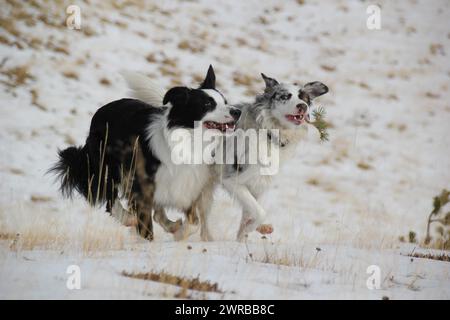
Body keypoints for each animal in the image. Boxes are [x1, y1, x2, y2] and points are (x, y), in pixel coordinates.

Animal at [50, 65, 241, 240]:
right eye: (207, 104)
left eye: (225, 101)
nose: (237, 111)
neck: (190, 140)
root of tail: (103, 109)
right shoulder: (141, 184)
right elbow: (146, 226)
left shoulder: (188, 185)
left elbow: (193, 223)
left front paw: (179, 233)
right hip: (107, 167)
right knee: (111, 200)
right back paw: (129, 218)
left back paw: (170, 225)